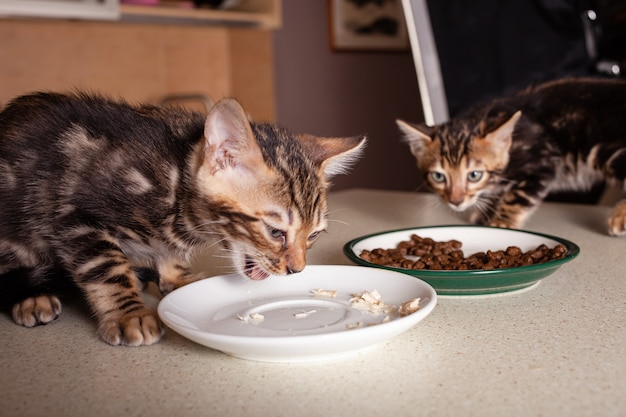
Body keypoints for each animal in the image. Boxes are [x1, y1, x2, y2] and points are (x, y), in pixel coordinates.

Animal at [0, 92, 366, 346]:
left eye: (314, 235)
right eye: (275, 231)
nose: (296, 270)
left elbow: (170, 255)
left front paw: (177, 278)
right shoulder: (74, 214)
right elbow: (107, 268)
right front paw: (130, 314)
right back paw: (31, 297)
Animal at [394, 78, 624, 234]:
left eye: (474, 175)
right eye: (438, 177)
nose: (456, 202)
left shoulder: (543, 161)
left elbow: (516, 196)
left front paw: (501, 222)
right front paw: (486, 211)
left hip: (601, 149)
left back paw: (620, 216)